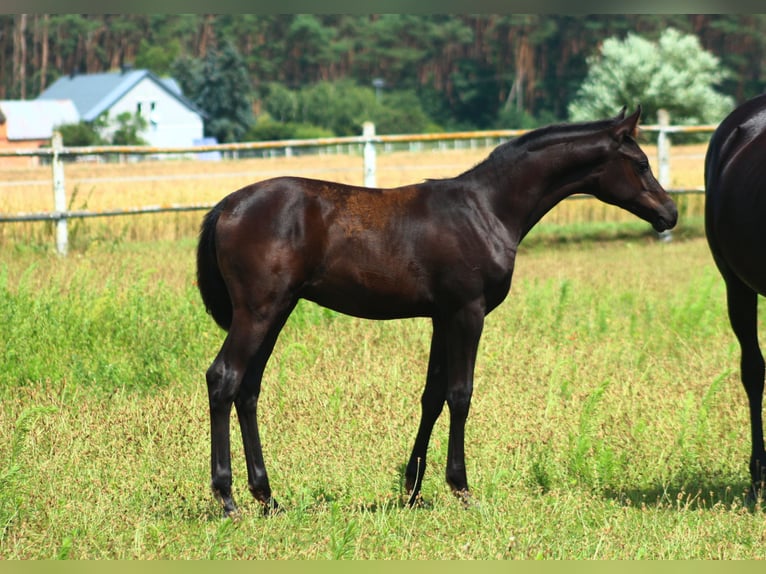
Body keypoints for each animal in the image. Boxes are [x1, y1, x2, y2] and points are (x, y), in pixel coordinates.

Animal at [196, 107, 680, 516]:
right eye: (640, 163)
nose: (670, 213)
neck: (485, 210)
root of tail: (226, 207)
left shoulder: (441, 317)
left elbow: (432, 395)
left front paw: (412, 488)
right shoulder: (468, 311)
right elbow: (460, 394)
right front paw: (461, 488)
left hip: (277, 310)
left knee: (249, 389)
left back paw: (267, 496)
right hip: (259, 311)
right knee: (224, 378)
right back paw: (227, 498)